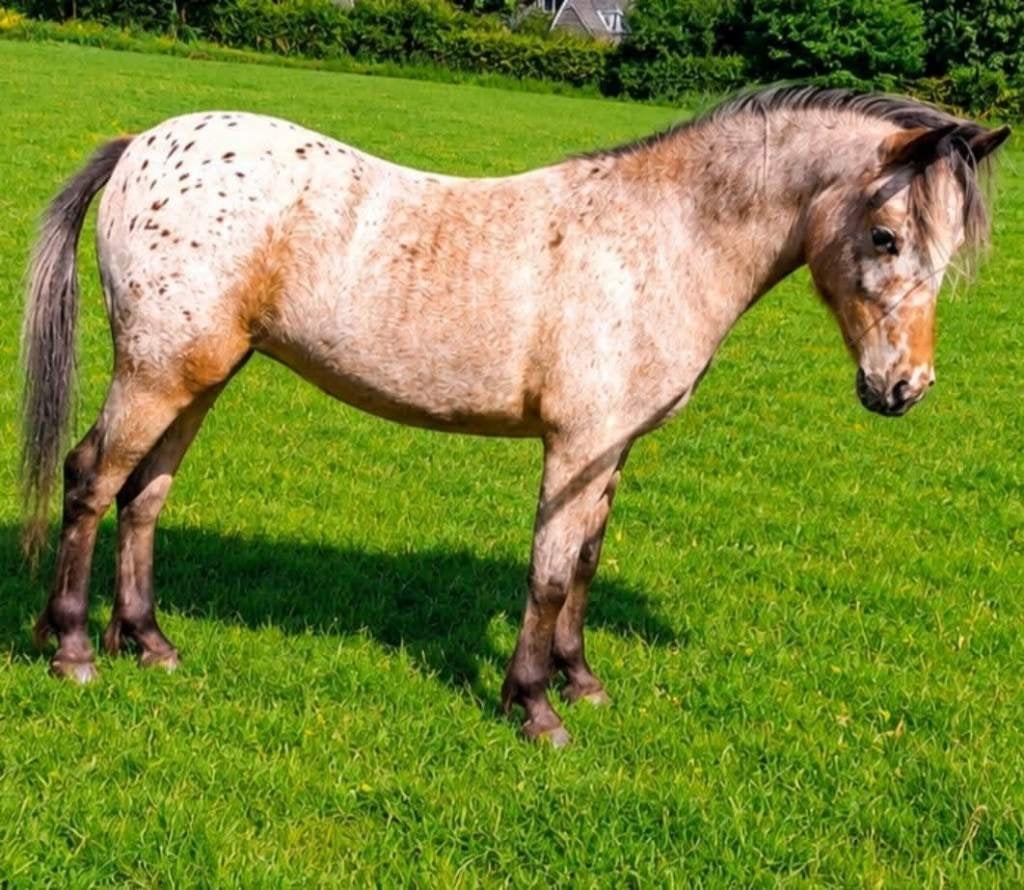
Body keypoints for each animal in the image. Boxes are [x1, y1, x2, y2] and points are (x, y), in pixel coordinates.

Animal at [20, 86, 1010, 746]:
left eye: (947, 252)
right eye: (885, 237)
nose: (904, 388)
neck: (662, 237)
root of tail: (141, 145)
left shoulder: (609, 450)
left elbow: (584, 566)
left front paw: (582, 682)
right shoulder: (575, 444)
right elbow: (547, 572)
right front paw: (533, 707)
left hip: (202, 376)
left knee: (145, 496)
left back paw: (150, 643)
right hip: (158, 373)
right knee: (91, 478)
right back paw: (72, 648)